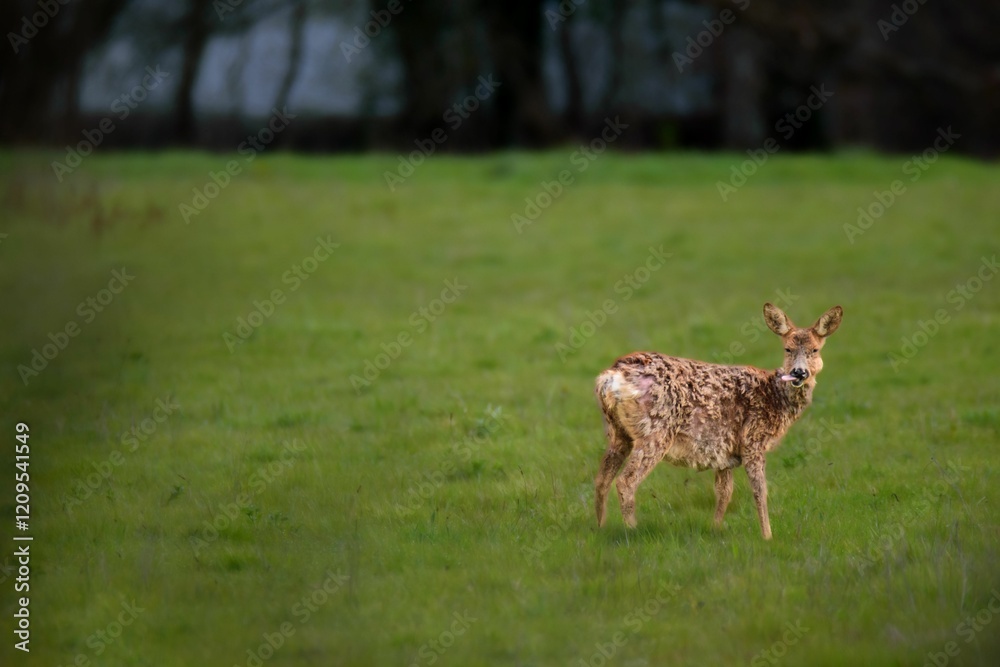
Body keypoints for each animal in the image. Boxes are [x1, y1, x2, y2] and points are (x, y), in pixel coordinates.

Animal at [593, 303, 842, 539]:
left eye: (815, 349)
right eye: (787, 348)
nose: (799, 373)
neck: (774, 396)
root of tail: (611, 377)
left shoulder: (723, 452)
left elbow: (724, 492)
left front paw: (715, 529)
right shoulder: (753, 440)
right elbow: (760, 491)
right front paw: (767, 536)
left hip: (618, 433)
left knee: (602, 479)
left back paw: (601, 527)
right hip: (655, 432)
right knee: (626, 481)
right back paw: (632, 530)